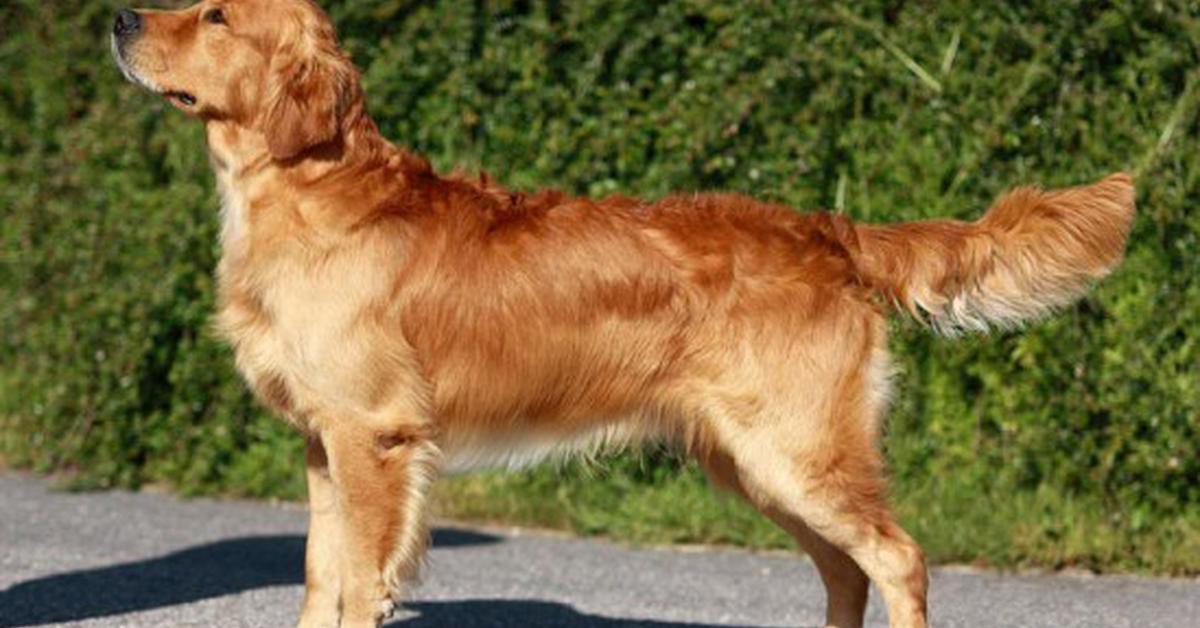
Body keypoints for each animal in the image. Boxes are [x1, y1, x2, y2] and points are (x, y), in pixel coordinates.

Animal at [112, 2, 1132, 624]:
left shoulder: (375, 436)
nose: (119, 16)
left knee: (899, 557)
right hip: (754, 461)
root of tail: (827, 229)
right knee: (848, 568)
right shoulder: (324, 441)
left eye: (215, 13)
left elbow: (360, 581)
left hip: (798, 451)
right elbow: (321, 575)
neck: (307, 185)